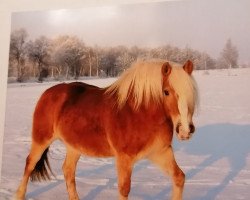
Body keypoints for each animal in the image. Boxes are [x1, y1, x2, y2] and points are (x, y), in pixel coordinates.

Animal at [15, 59, 197, 200]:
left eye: (192, 92)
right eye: (166, 92)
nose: (185, 130)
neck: (139, 112)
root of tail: (48, 92)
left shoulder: (160, 152)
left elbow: (179, 178)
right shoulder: (124, 159)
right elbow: (124, 189)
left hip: (74, 146)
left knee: (68, 170)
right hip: (41, 139)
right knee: (29, 164)